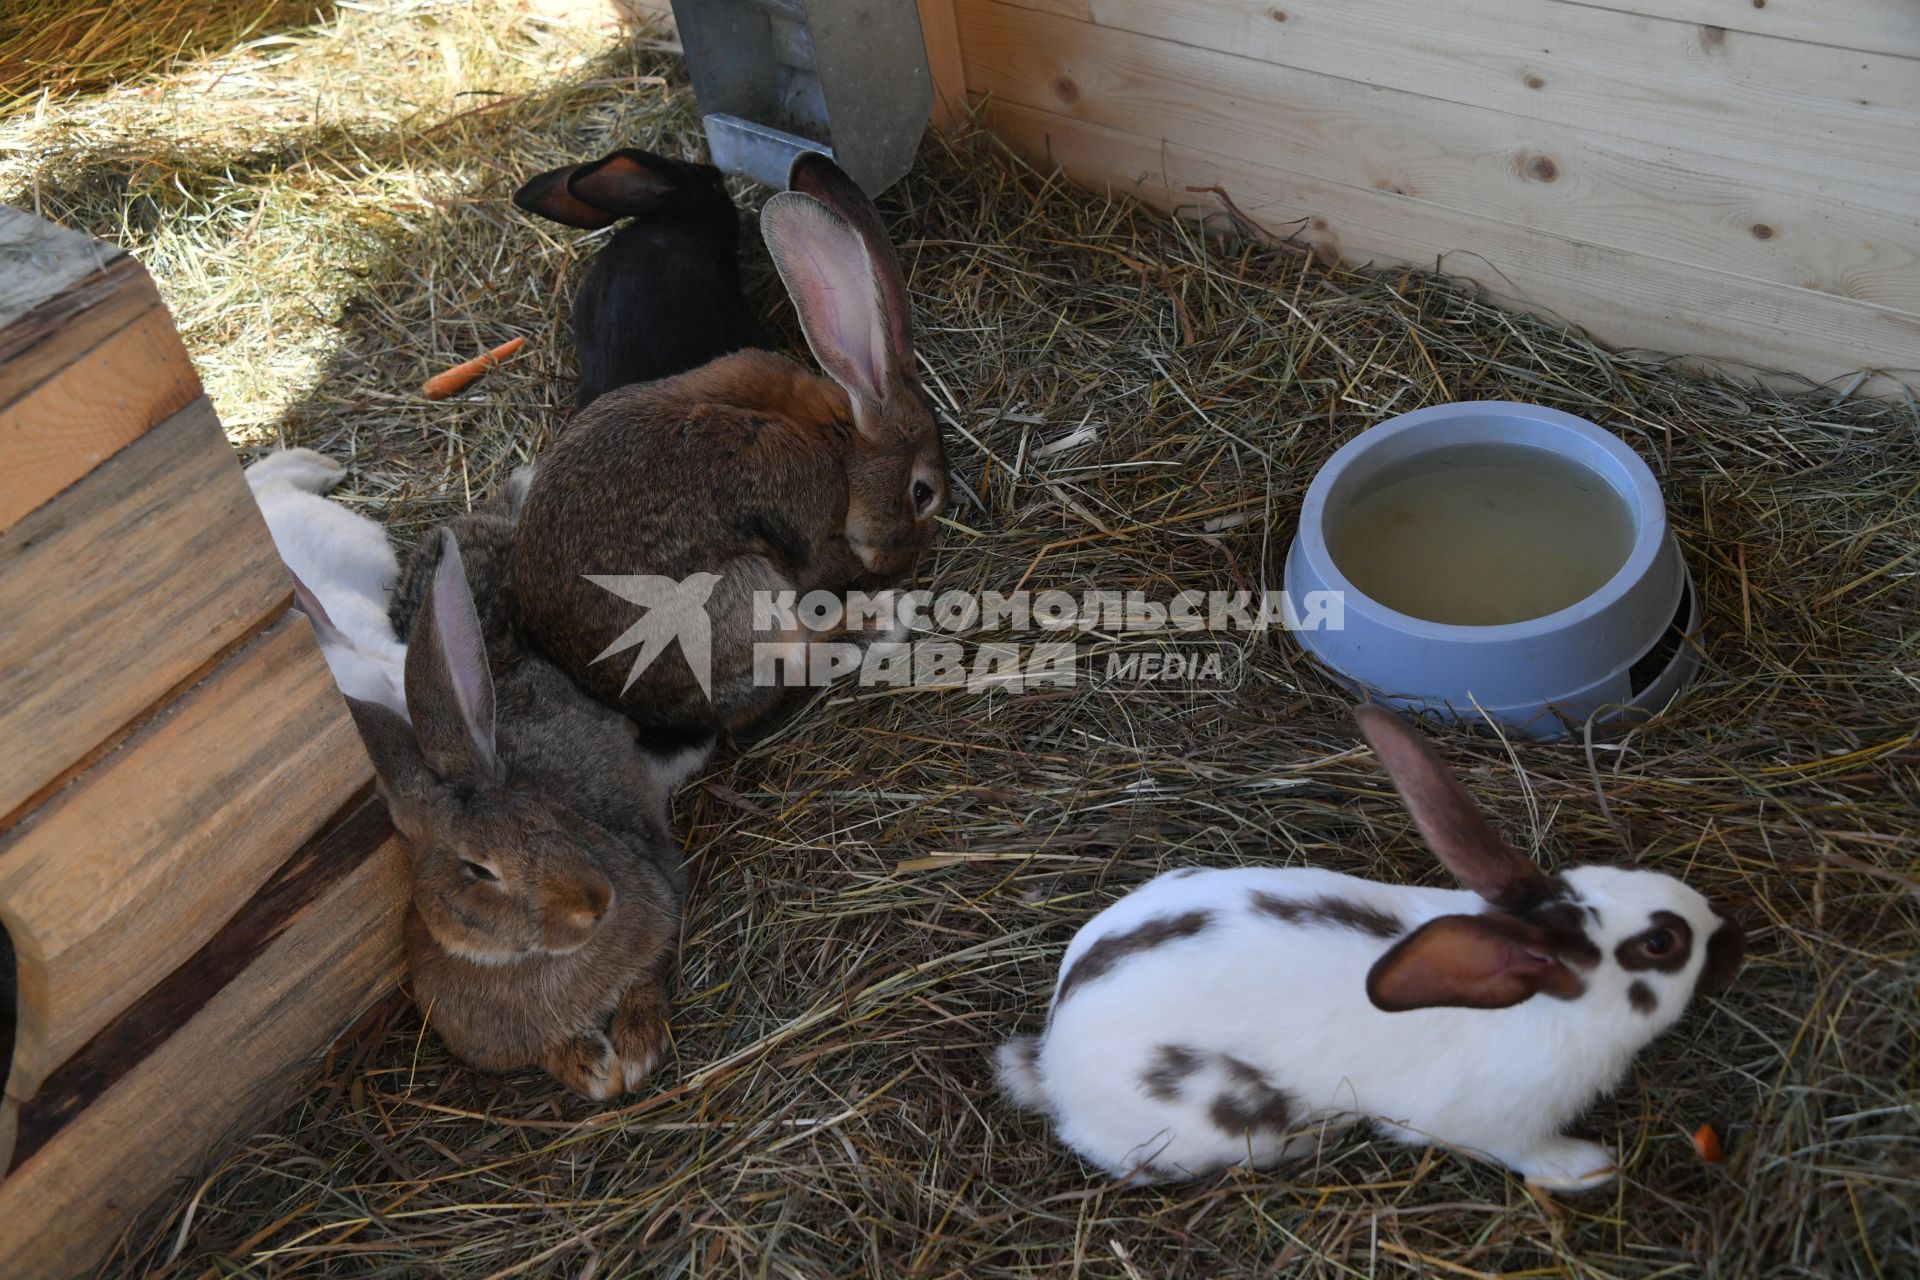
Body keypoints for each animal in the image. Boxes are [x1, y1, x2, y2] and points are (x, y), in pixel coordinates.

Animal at [514, 157, 948, 740]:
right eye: (922, 494)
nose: (902, 558)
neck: (843, 444)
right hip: (739, 593)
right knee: (791, 661)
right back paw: (880, 620)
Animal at [998, 702, 1751, 1189]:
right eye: (1662, 942)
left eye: (1613, 873)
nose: (1734, 939)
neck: (1548, 1007)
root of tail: (1052, 1057)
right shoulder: (1489, 1127)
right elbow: (1528, 1155)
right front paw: (1590, 1168)